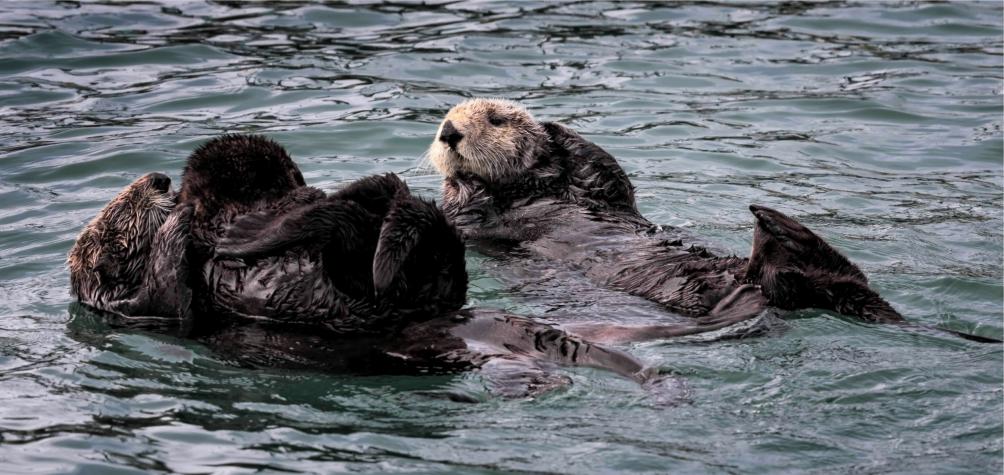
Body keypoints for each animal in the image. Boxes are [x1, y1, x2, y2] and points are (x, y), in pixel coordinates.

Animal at [427, 98, 1000, 342]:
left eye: (496, 118)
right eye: (442, 123)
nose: (450, 132)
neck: (530, 190)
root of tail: (757, 291)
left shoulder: (600, 192)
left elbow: (608, 175)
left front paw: (556, 129)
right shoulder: (475, 220)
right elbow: (464, 208)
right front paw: (464, 178)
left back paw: (774, 224)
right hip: (732, 291)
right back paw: (775, 229)